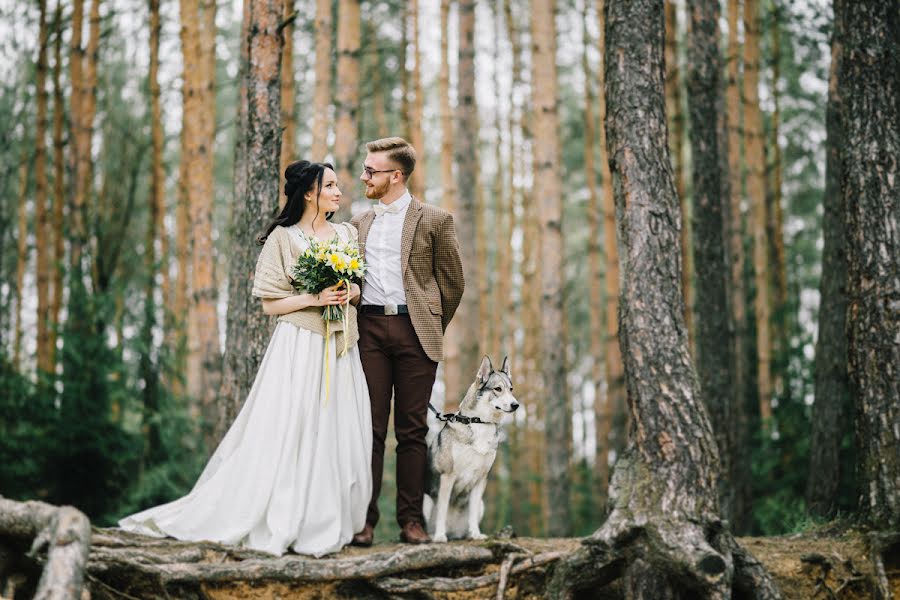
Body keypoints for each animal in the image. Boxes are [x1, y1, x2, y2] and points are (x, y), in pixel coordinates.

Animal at [424, 356, 520, 544]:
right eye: (498, 389)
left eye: (511, 389)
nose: (516, 405)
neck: (480, 422)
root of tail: (454, 532)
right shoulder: (448, 476)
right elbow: (442, 511)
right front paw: (440, 536)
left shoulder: (481, 478)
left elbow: (473, 515)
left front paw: (476, 534)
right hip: (425, 500)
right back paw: (433, 535)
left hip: (482, 503)